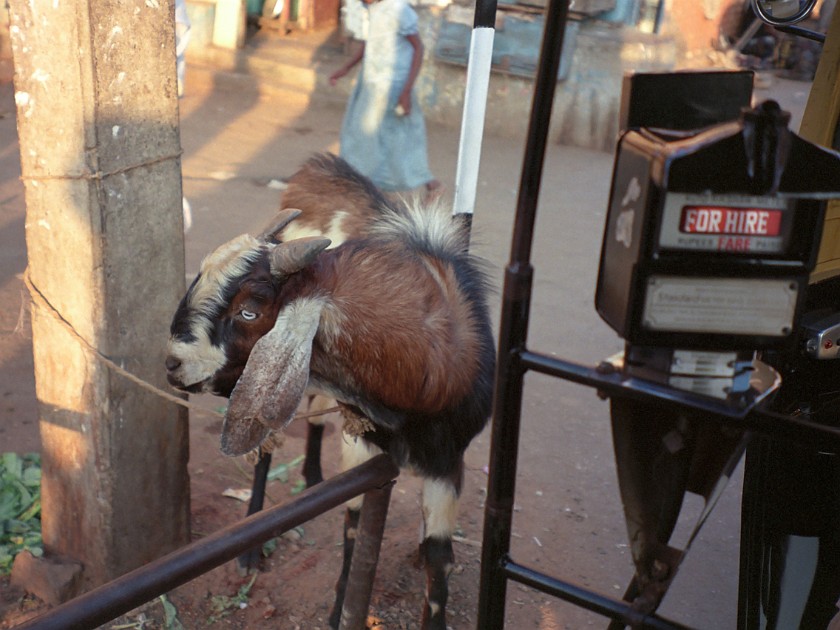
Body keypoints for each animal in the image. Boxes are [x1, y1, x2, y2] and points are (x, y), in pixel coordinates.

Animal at [165, 154, 496, 630]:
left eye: (249, 310)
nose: (172, 362)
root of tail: (317, 169)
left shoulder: (447, 461)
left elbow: (438, 556)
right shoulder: (363, 442)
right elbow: (354, 525)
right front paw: (341, 608)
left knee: (316, 413)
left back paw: (313, 475)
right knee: (269, 449)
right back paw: (251, 550)